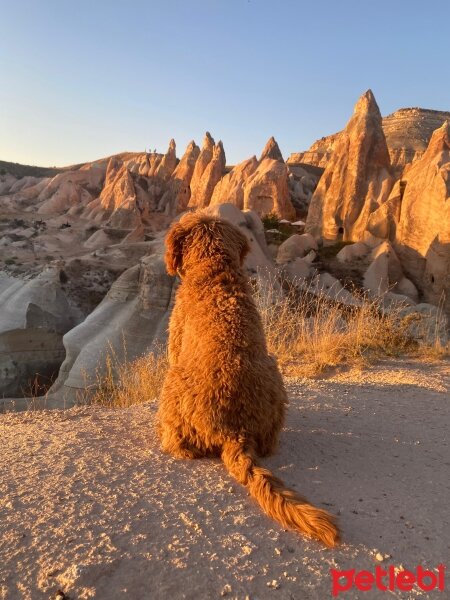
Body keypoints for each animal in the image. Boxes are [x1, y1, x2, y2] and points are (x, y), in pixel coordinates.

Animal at [156, 212, 340, 548]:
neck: (215, 271)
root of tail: (235, 431)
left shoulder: (175, 344)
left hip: (173, 380)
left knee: (179, 443)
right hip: (274, 374)